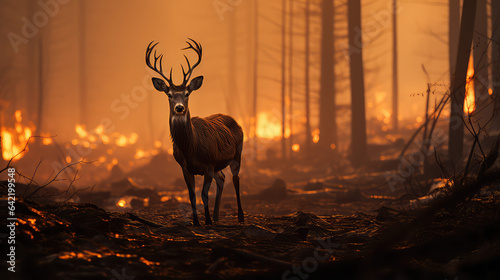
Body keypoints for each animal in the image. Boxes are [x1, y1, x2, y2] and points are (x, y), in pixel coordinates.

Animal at [145, 39, 244, 226]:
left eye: (187, 93)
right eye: (169, 94)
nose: (179, 108)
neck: (191, 148)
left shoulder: (208, 164)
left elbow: (204, 195)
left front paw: (207, 222)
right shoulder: (185, 168)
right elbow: (191, 195)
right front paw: (197, 222)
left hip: (237, 154)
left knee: (235, 179)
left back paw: (240, 217)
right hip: (218, 165)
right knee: (222, 179)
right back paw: (216, 217)